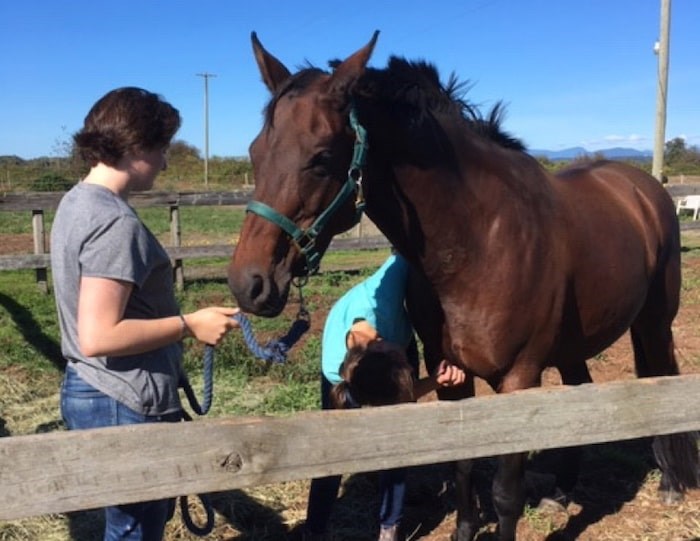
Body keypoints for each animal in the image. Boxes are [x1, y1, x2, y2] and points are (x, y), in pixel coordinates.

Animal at [227, 31, 696, 536]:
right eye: (255, 152)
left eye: (320, 158)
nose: (248, 283)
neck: (481, 240)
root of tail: (643, 189)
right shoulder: (449, 369)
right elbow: (463, 465)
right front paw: (465, 529)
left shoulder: (519, 379)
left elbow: (506, 491)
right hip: (575, 341)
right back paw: (561, 492)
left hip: (654, 323)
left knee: (663, 377)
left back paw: (671, 482)